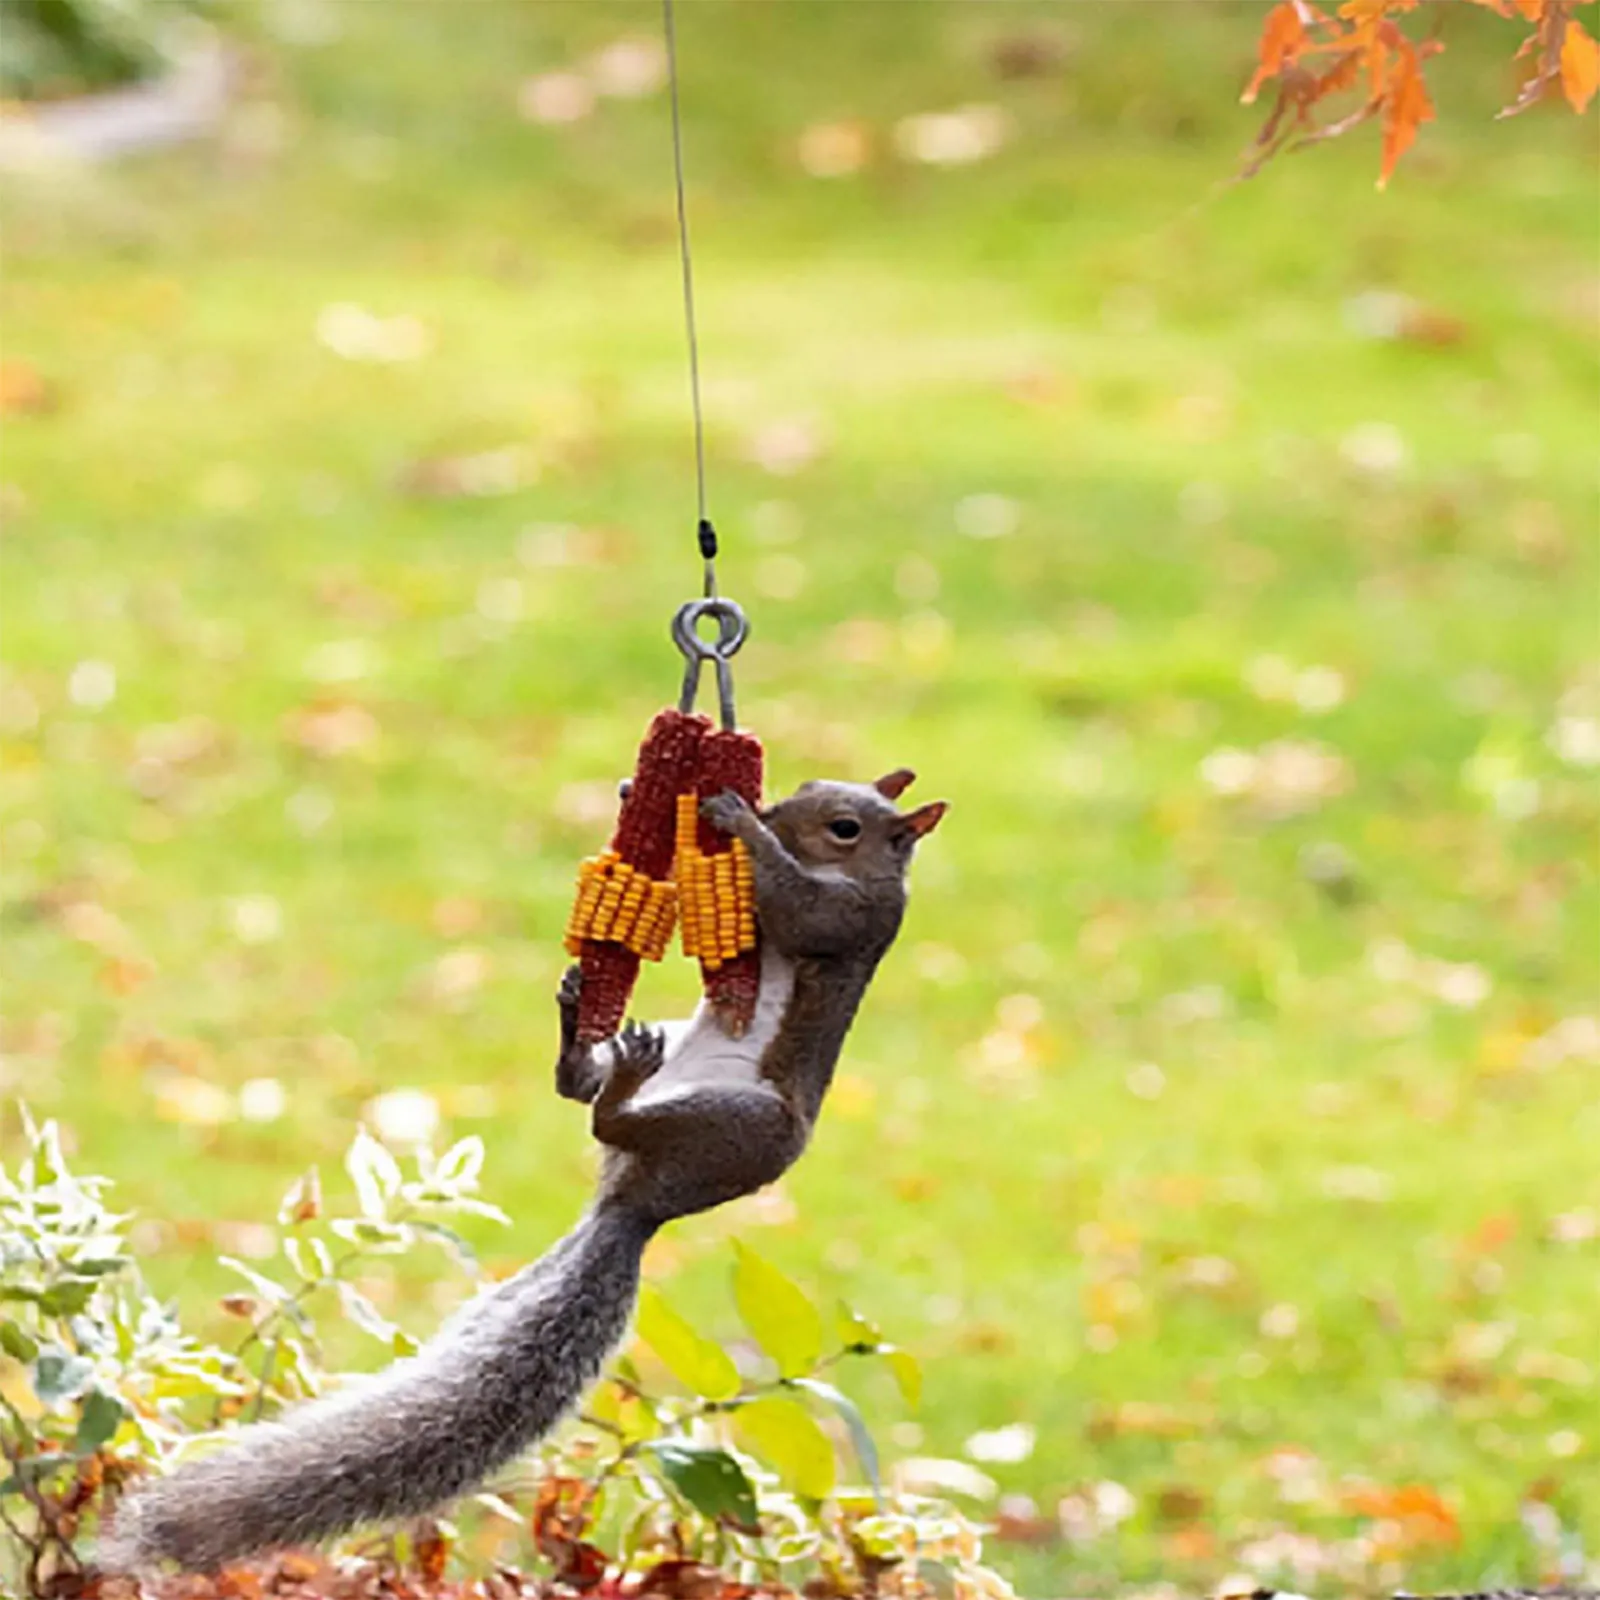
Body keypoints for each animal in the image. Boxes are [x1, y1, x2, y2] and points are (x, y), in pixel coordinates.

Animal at [103, 770, 946, 1575]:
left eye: (845, 826)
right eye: (808, 789)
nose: (772, 812)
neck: (867, 870)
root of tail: (638, 1203)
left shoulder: (852, 922)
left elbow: (799, 909)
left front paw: (737, 822)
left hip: (742, 1122)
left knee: (608, 1120)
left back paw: (614, 1081)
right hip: (680, 1053)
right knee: (584, 1096)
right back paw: (579, 1037)